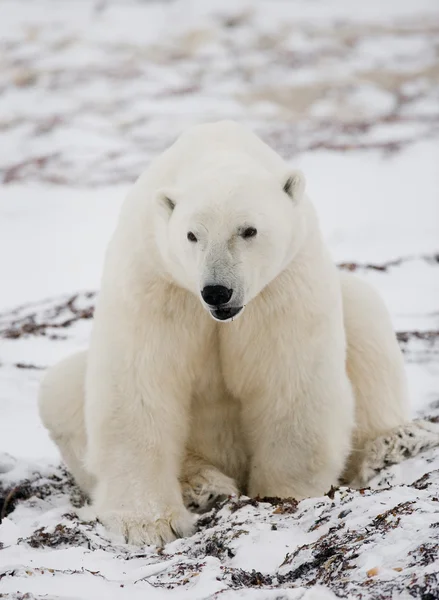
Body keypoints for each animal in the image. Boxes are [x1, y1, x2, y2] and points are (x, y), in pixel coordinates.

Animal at [39, 120, 438, 544]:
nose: (217, 291)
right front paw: (149, 524)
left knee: (364, 308)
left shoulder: (282, 286)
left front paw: (284, 493)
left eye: (249, 230)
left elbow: (289, 382)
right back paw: (203, 485)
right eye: (192, 235)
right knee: (60, 387)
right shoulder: (156, 282)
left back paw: (395, 442)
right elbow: (139, 389)